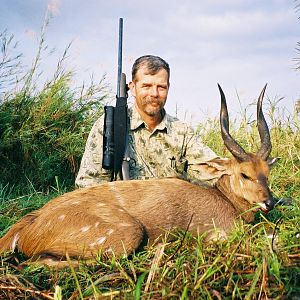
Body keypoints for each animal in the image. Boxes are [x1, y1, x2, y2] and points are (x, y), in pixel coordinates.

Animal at [0, 84, 276, 264]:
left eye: (267, 172)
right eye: (244, 174)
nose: (269, 201)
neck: (226, 201)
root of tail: (29, 224)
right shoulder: (217, 233)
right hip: (127, 234)